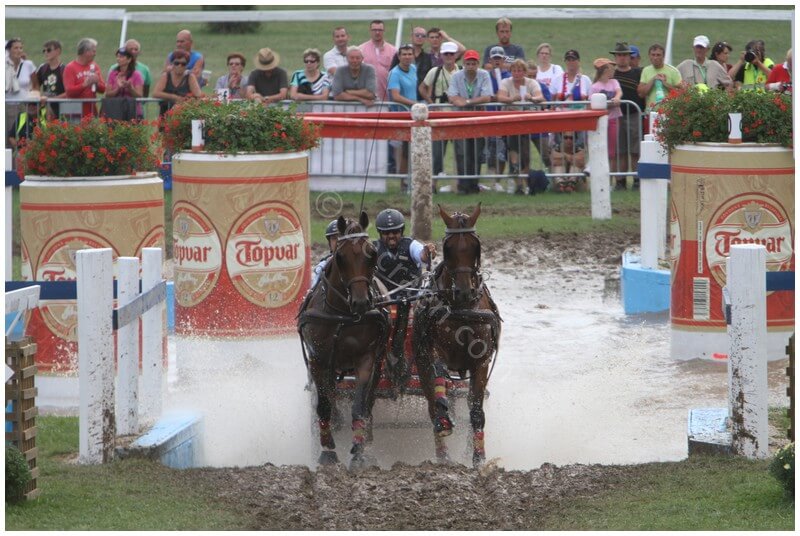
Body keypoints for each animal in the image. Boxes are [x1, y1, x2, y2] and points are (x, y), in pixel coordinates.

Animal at [297, 212, 389, 468]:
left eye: (372, 254)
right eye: (340, 256)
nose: (361, 302)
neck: (342, 315)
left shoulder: (366, 358)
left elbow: (359, 404)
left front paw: (359, 450)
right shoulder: (318, 360)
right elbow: (324, 405)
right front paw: (327, 451)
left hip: (379, 360)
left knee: (368, 401)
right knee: (330, 396)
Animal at [412, 202, 501, 467]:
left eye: (475, 246)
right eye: (448, 248)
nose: (464, 291)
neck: (462, 310)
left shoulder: (481, 362)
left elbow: (476, 410)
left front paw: (479, 458)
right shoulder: (433, 351)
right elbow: (440, 378)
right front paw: (444, 418)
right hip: (421, 365)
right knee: (432, 405)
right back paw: (443, 455)